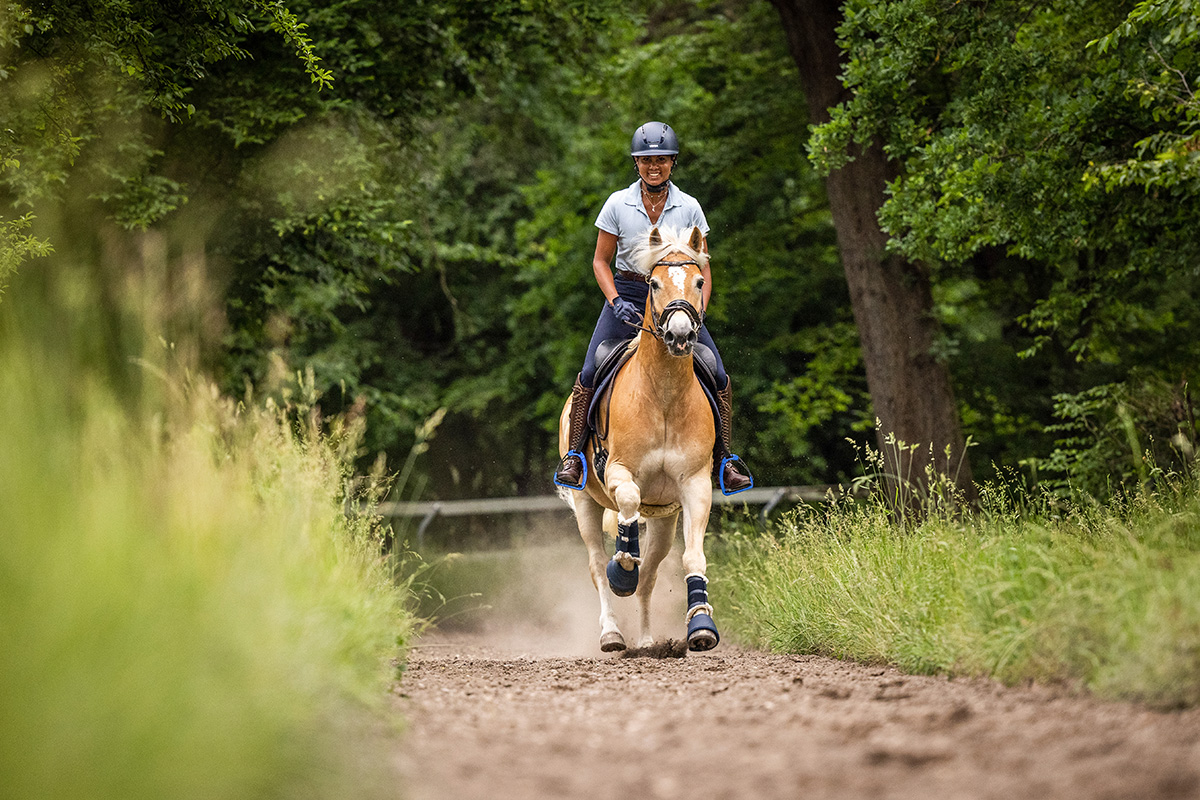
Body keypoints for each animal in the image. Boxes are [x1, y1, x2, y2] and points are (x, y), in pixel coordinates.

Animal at [554, 226, 715, 657]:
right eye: (654, 283)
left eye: (699, 281)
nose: (680, 335)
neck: (663, 395)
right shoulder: (619, 470)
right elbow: (626, 501)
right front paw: (621, 569)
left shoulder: (695, 484)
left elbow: (693, 557)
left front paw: (701, 625)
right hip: (584, 502)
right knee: (597, 565)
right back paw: (612, 633)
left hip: (663, 519)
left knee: (651, 575)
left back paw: (644, 641)